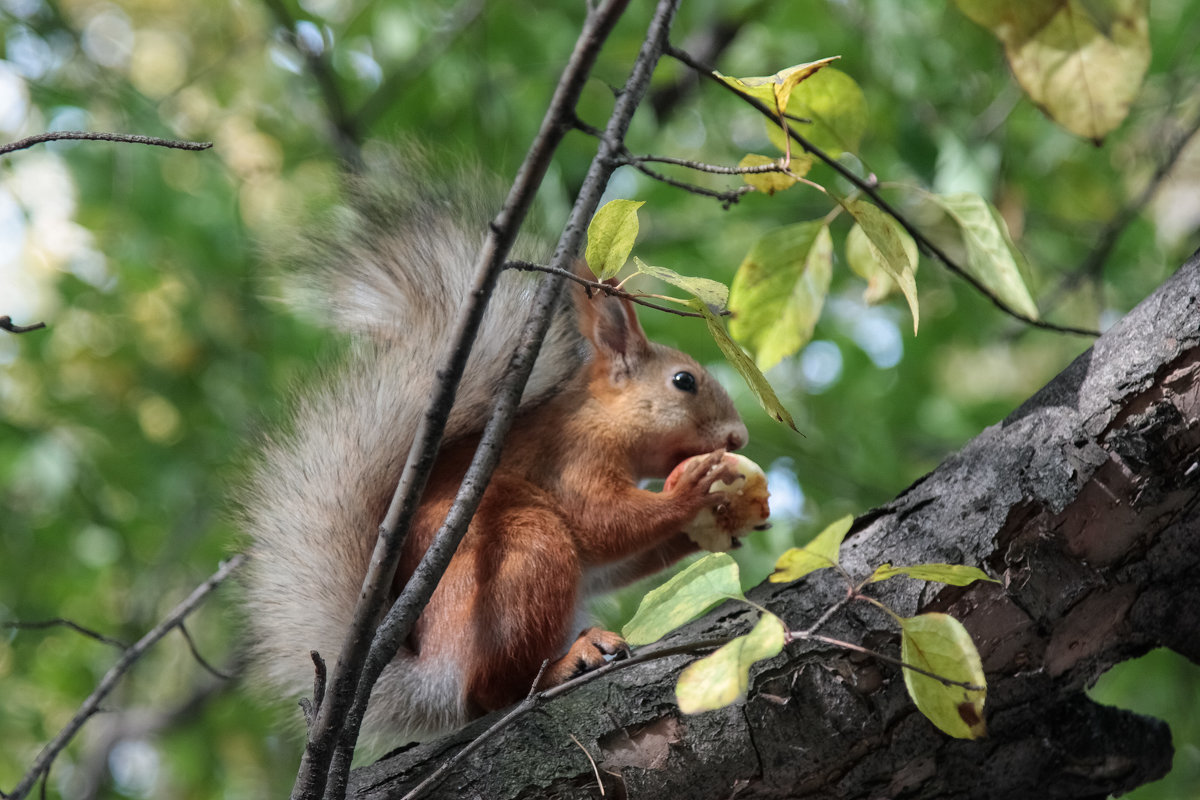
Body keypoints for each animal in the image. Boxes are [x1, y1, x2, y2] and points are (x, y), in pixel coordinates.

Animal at [237, 154, 744, 743]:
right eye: (684, 382)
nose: (739, 438)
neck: (602, 417)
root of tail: (439, 672)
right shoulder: (573, 457)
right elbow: (601, 521)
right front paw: (692, 492)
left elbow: (614, 561)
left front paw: (720, 521)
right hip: (523, 548)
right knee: (494, 691)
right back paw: (566, 663)